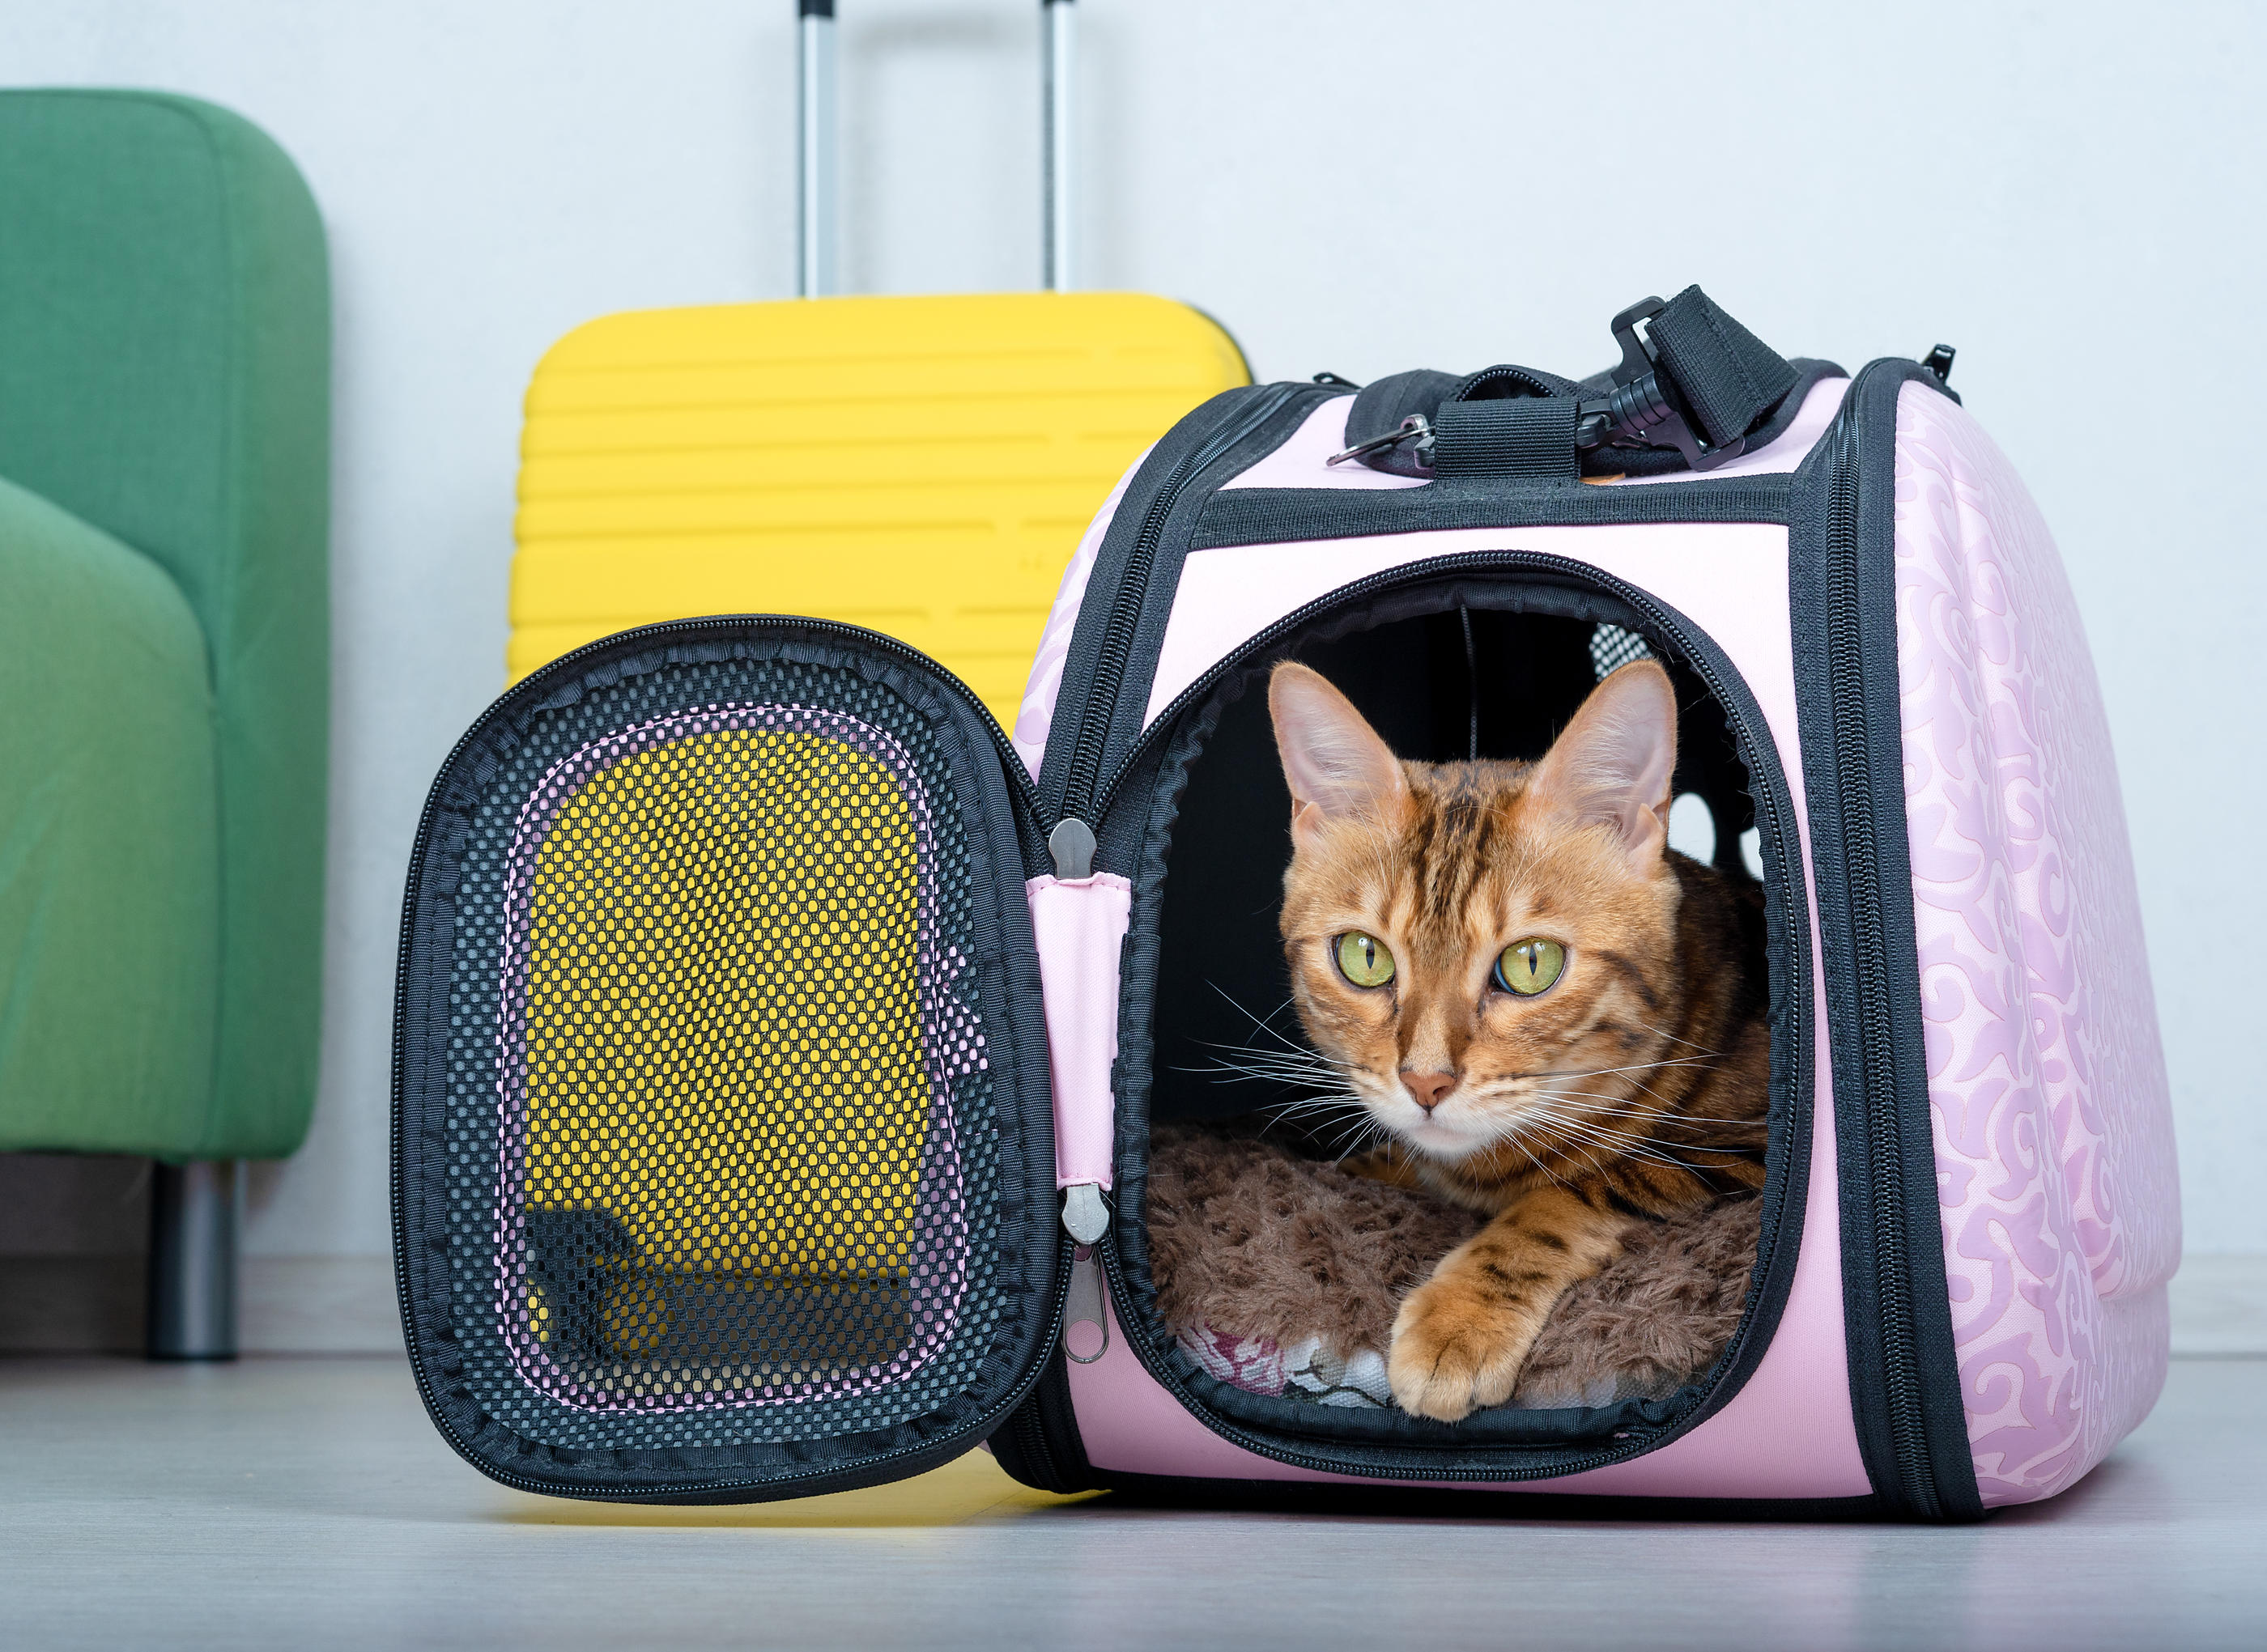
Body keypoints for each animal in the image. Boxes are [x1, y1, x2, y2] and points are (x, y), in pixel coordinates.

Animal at [1270, 656, 1759, 1414]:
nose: (1425, 1081)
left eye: (1532, 964)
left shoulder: (1734, 1155)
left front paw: (1460, 1317)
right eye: (1364, 956)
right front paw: (1367, 1165)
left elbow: (1566, 1194)